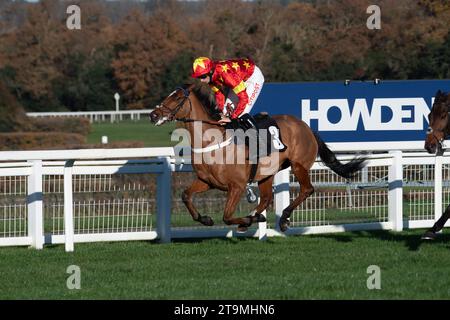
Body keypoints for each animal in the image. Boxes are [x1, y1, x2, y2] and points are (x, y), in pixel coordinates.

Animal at [149, 84, 368, 231]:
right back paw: (256, 218)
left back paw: (282, 218)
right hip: (267, 172)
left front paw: (245, 220)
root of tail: (306, 127)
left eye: (177, 98)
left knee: (307, 189)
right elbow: (186, 195)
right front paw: (206, 219)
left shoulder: (237, 186)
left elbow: (227, 216)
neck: (212, 142)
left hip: (299, 165)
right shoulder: (207, 181)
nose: (153, 115)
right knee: (267, 197)